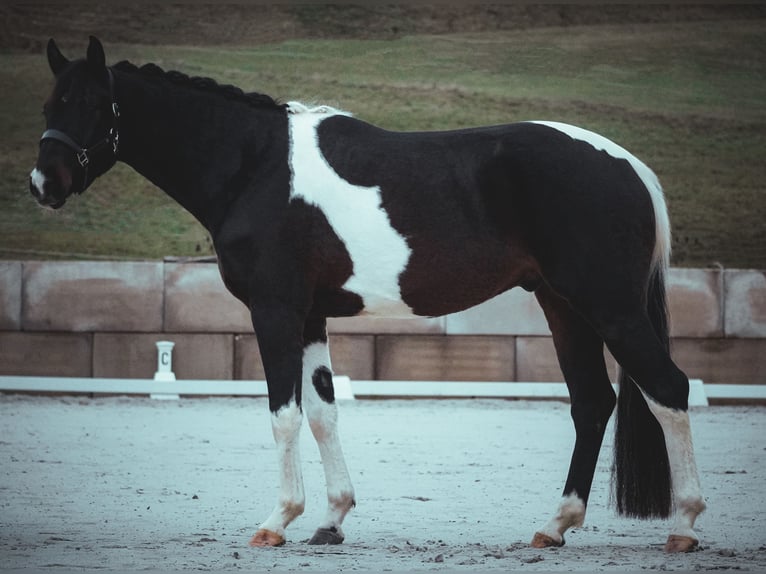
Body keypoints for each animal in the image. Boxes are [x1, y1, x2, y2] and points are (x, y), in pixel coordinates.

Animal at [29, 37, 705, 553]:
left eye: (93, 103)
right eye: (50, 102)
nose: (43, 183)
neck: (258, 167)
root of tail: (629, 166)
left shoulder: (274, 312)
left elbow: (283, 415)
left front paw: (277, 521)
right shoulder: (309, 318)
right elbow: (323, 412)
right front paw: (331, 520)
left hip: (610, 309)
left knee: (668, 391)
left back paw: (684, 526)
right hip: (564, 307)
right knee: (592, 403)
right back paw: (553, 527)